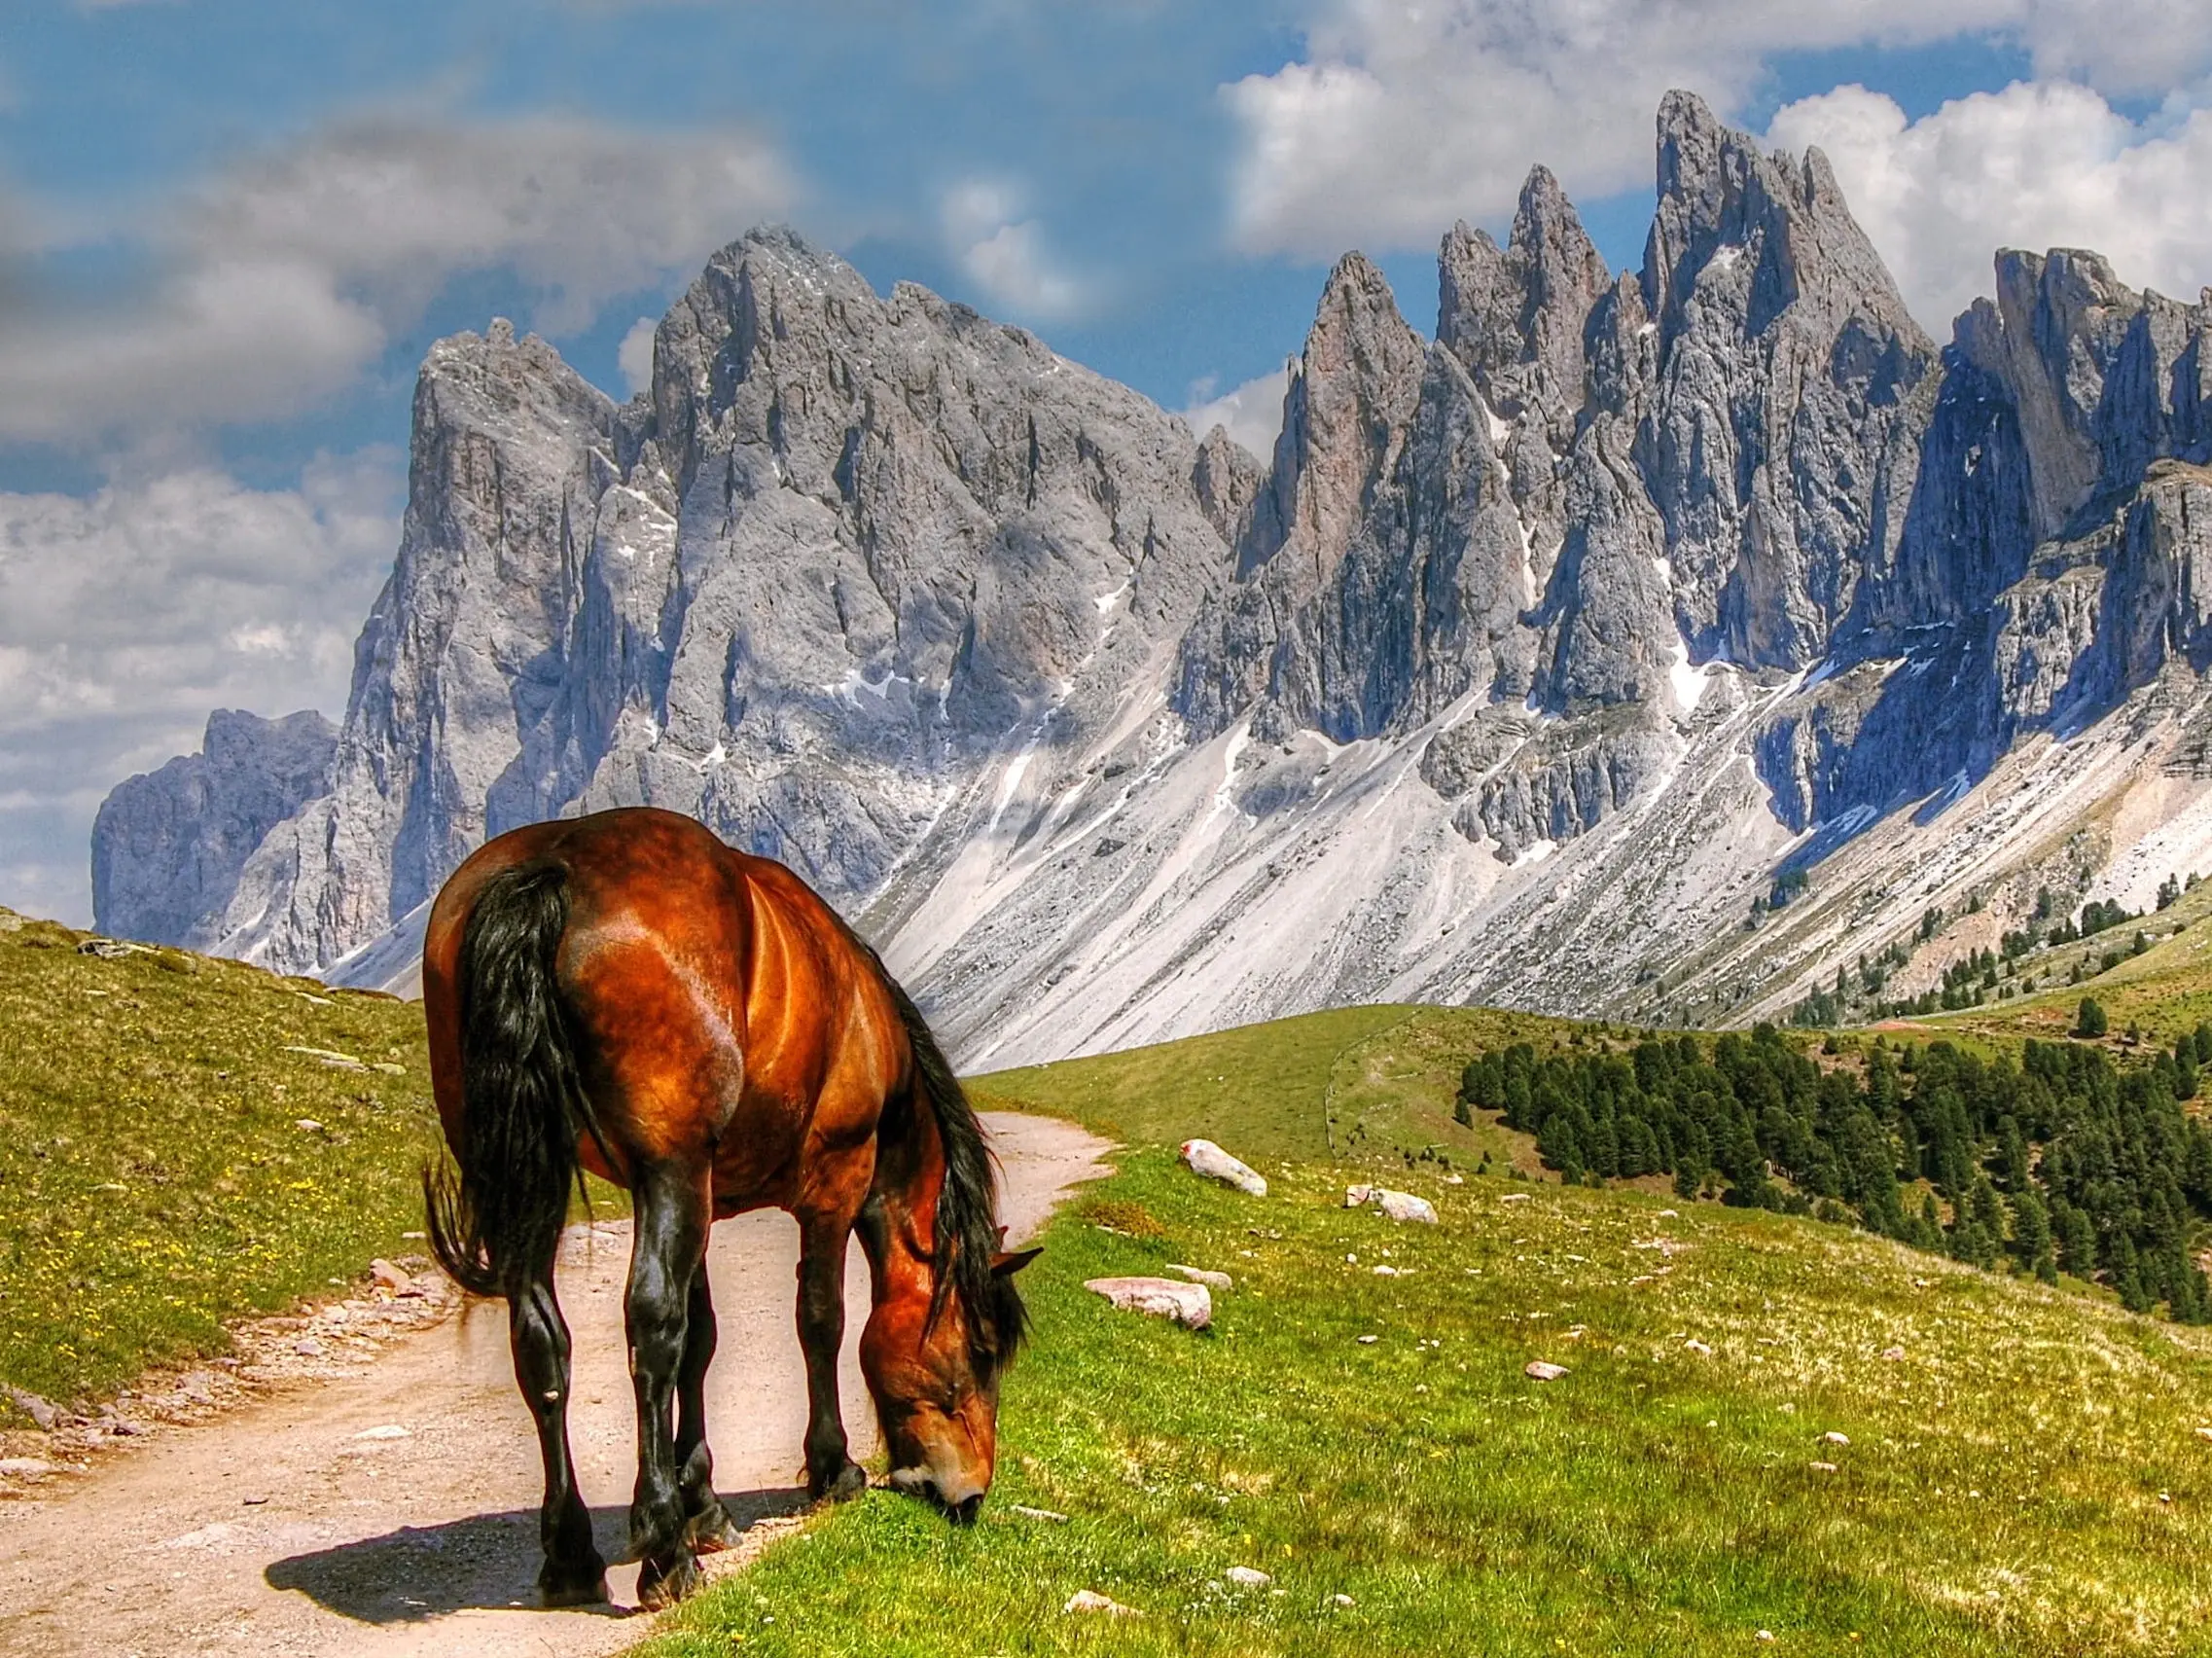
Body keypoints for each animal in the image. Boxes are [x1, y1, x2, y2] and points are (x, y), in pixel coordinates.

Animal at [417, 801, 1039, 1603]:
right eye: (983, 1352)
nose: (971, 1496)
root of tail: (551, 865)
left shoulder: (703, 1200)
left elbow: (702, 1341)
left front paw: (705, 1504)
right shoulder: (831, 1186)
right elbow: (820, 1322)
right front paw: (832, 1468)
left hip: (543, 1182)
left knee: (543, 1343)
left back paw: (573, 1555)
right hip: (668, 1169)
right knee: (650, 1326)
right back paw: (663, 1552)